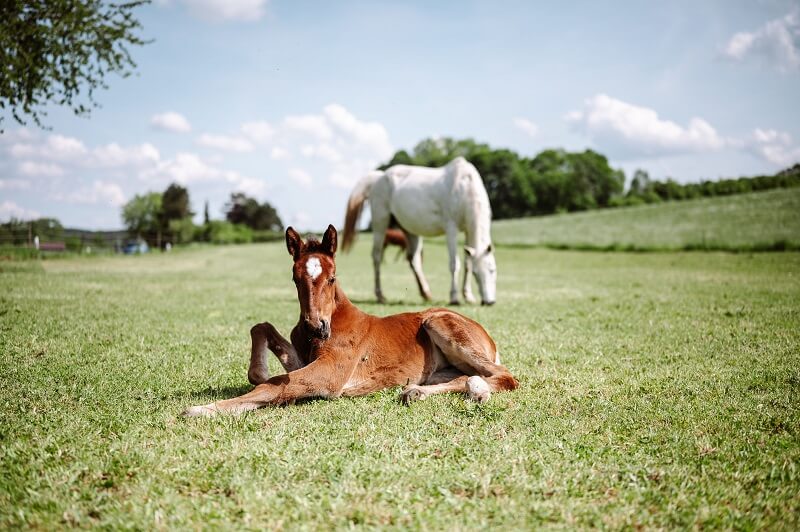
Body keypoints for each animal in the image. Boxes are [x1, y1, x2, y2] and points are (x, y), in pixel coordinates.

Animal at [183, 222, 520, 418]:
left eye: (332, 278)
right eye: (295, 279)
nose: (316, 327)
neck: (333, 319)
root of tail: (486, 335)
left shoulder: (331, 374)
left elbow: (273, 385)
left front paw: (201, 409)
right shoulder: (305, 359)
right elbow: (261, 329)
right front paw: (256, 373)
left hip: (437, 323)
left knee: (505, 376)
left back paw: (473, 391)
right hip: (442, 367)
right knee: (466, 376)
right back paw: (418, 392)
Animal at [342, 156, 496, 306]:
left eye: (492, 270)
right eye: (476, 274)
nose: (489, 302)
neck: (465, 187)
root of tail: (379, 178)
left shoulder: (468, 231)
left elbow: (467, 263)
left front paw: (468, 296)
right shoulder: (451, 229)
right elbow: (454, 264)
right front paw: (454, 298)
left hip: (409, 229)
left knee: (413, 260)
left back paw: (426, 293)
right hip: (381, 224)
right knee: (377, 257)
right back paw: (380, 295)